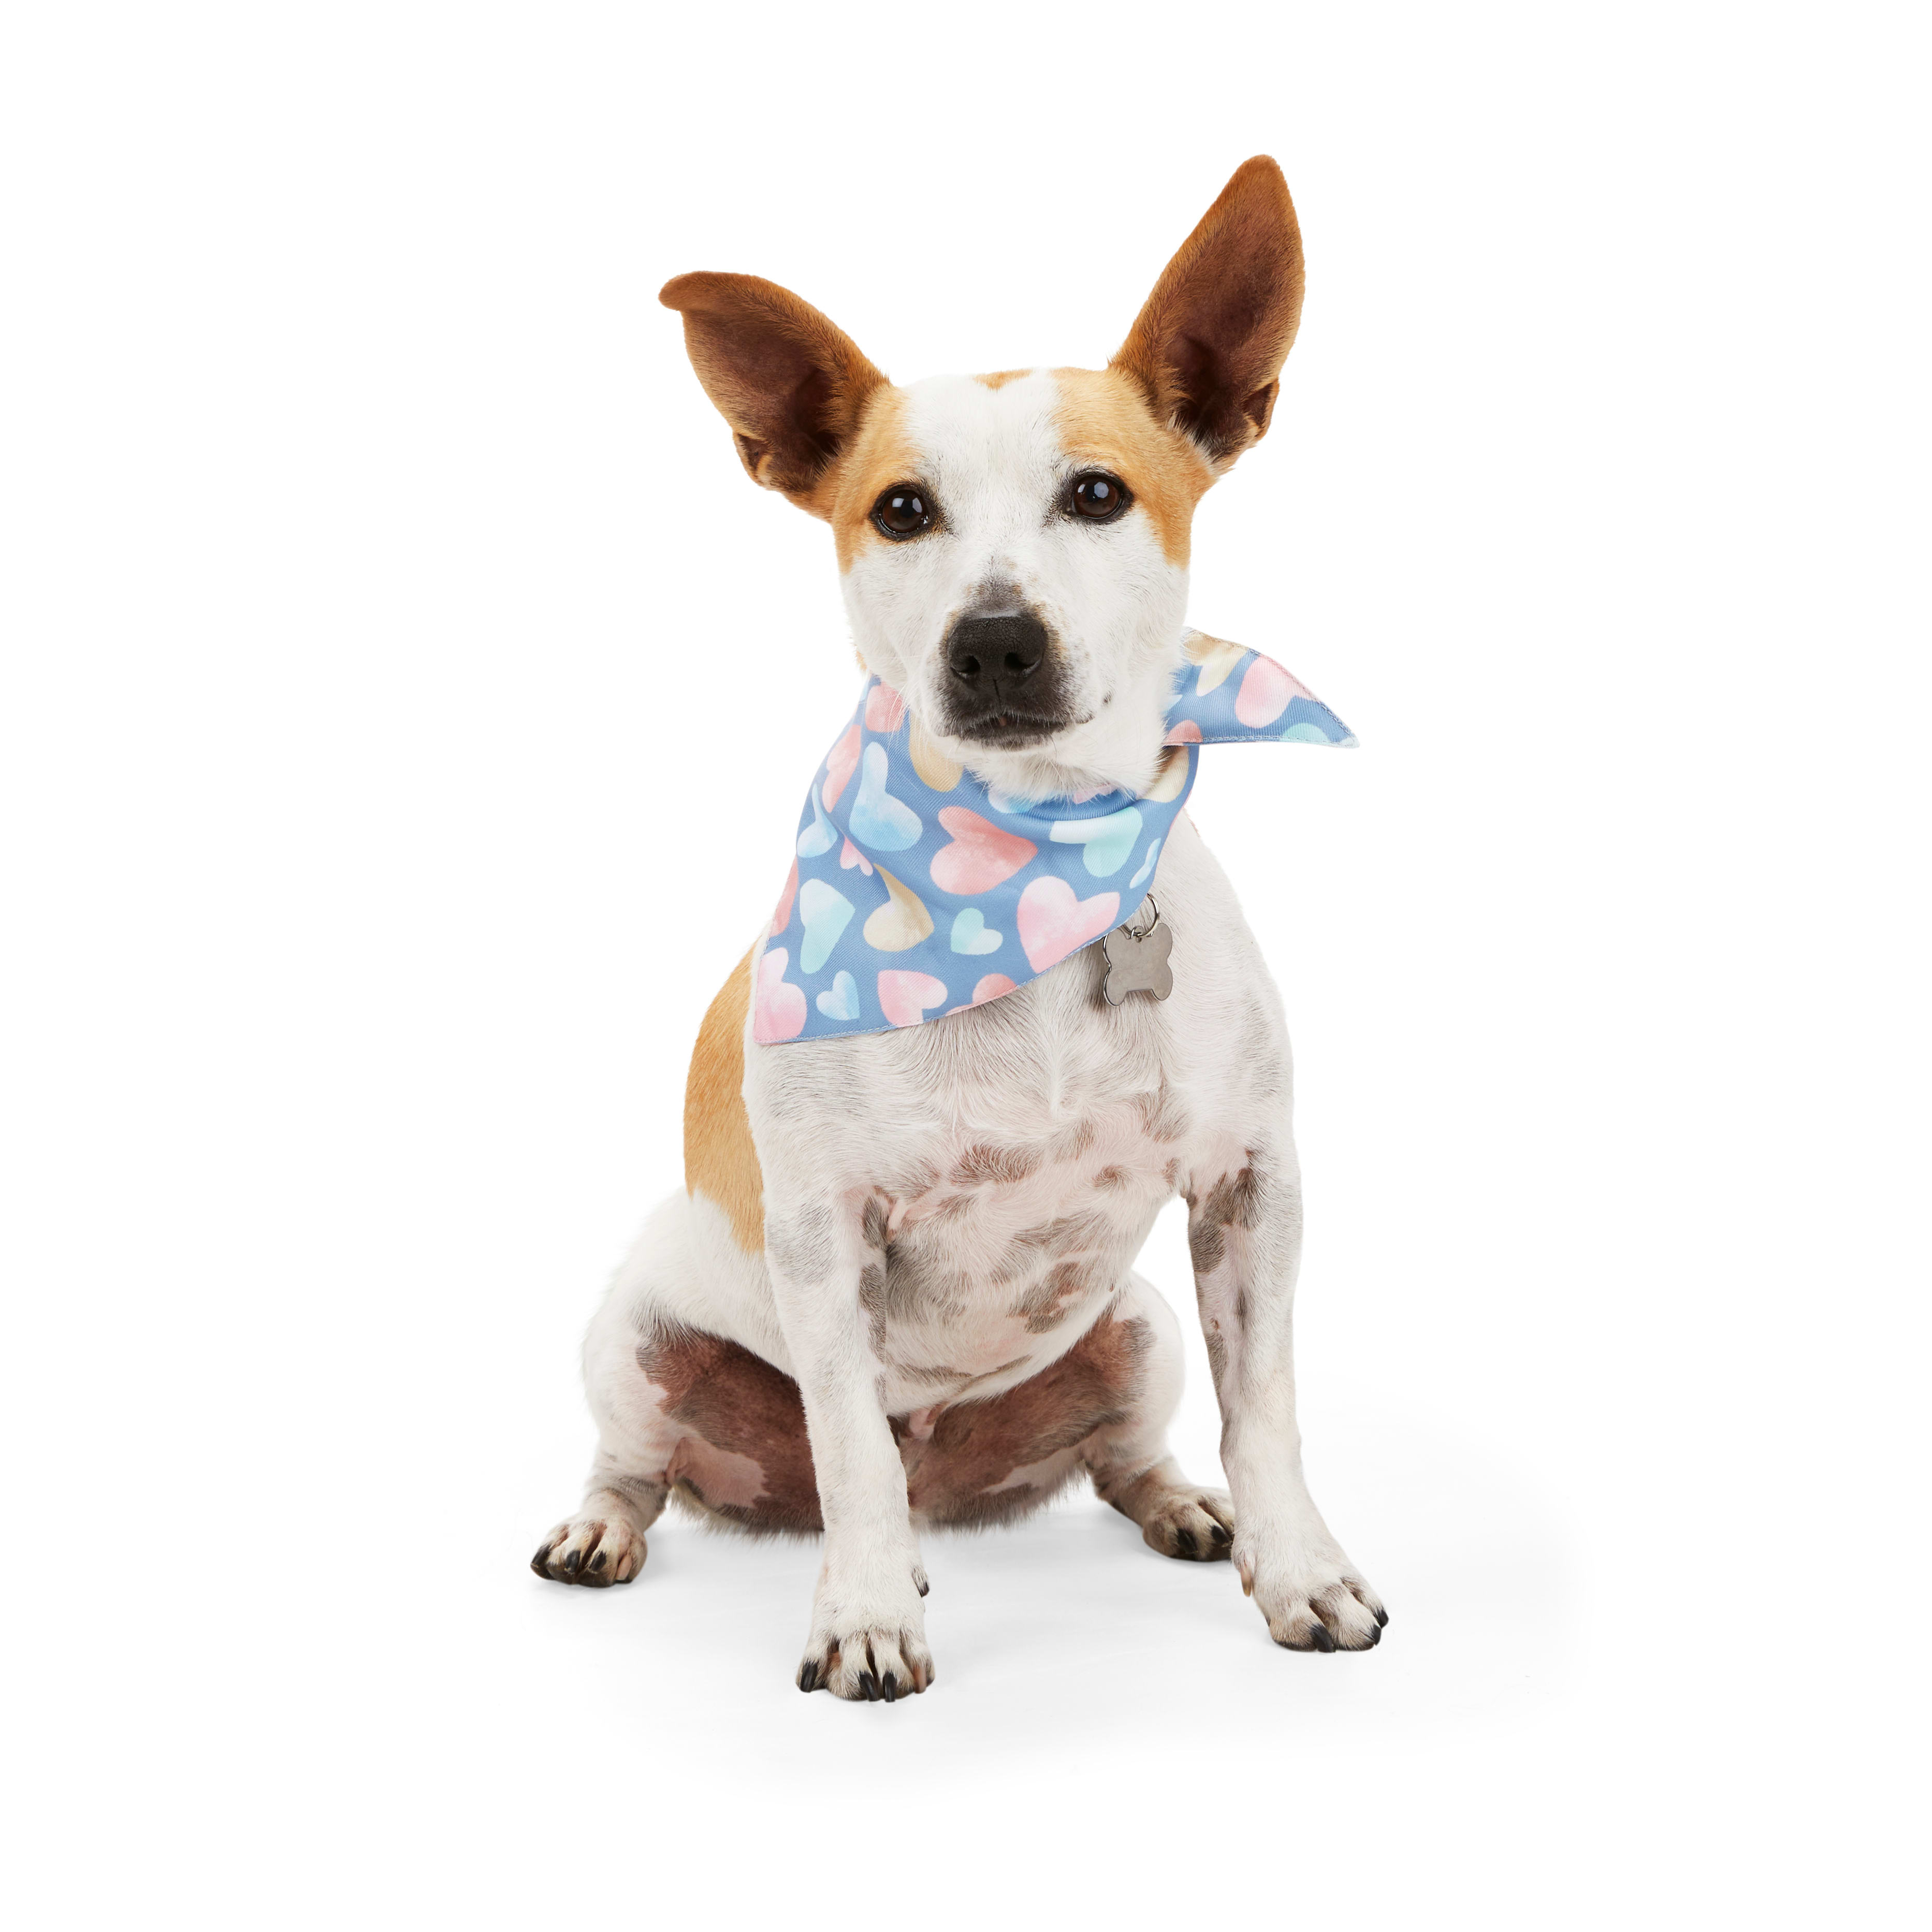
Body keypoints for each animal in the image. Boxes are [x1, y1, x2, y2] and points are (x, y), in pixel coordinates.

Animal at [533, 162, 1391, 1708]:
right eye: (900, 509)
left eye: (1098, 493)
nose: (993, 640)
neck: (1032, 864)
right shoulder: (823, 1236)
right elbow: (852, 1452)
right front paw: (868, 1615)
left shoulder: (1250, 1187)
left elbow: (1269, 1410)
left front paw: (1297, 1572)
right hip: (635, 1335)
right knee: (665, 1461)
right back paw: (605, 1527)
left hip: (1137, 1331)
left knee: (1124, 1453)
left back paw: (1183, 1507)